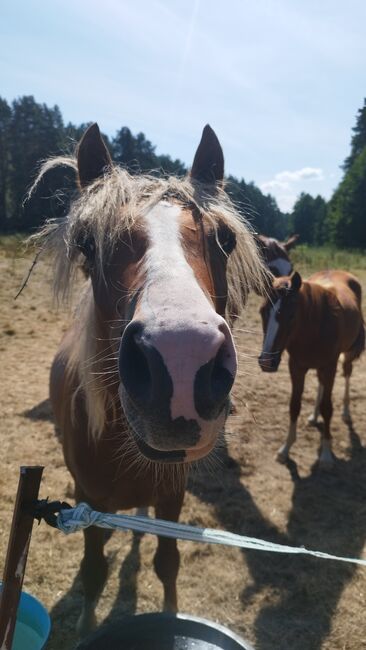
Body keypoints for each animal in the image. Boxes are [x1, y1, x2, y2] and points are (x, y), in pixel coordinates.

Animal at [30, 123, 266, 632]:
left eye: (226, 239)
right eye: (88, 243)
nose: (181, 359)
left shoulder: (171, 500)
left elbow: (167, 563)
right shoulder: (88, 505)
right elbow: (94, 570)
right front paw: (85, 628)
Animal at [258, 268, 364, 466]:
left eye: (291, 315)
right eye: (262, 312)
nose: (266, 362)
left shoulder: (329, 366)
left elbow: (327, 407)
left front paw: (327, 453)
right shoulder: (297, 367)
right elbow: (294, 405)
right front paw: (285, 449)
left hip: (345, 356)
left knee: (347, 373)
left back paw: (346, 411)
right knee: (321, 385)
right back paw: (314, 417)